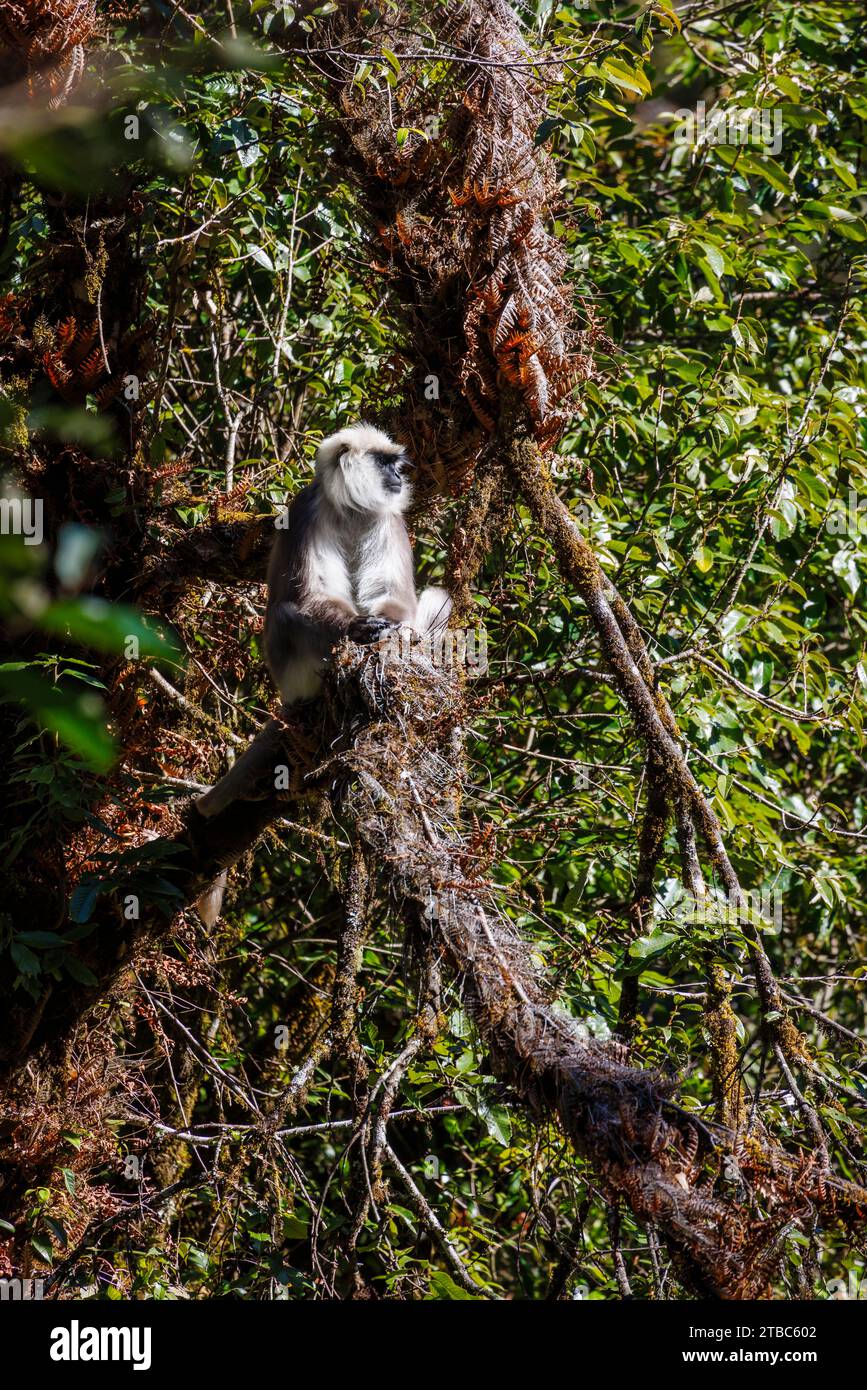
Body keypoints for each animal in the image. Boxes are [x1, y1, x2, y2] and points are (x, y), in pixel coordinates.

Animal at [194, 422, 452, 834]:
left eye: (397, 464)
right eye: (385, 463)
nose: (399, 477)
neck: (352, 509)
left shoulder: (386, 518)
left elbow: (391, 593)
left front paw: (390, 634)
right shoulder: (307, 511)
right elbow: (311, 593)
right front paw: (360, 629)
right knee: (286, 614)